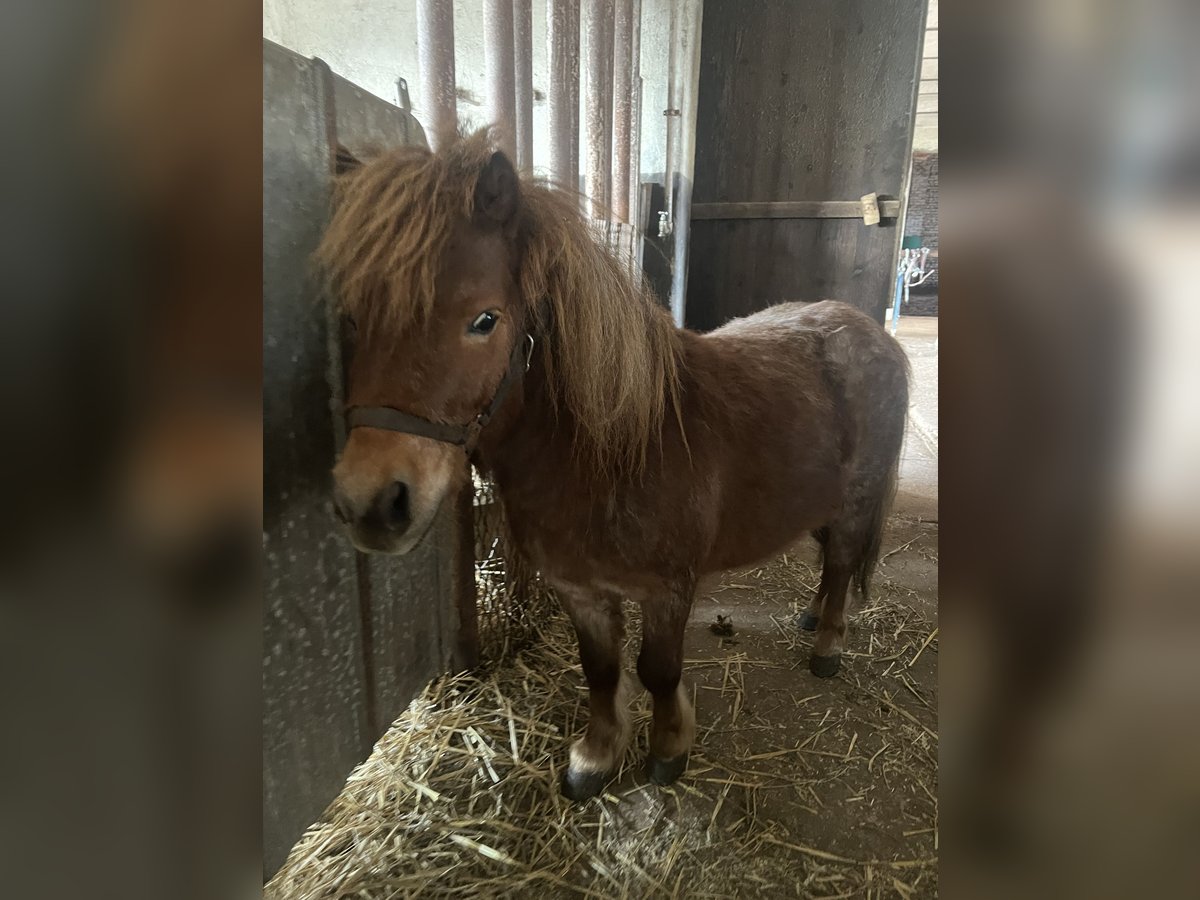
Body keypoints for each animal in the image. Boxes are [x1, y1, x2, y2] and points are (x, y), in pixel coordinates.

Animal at [318, 131, 909, 801]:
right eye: (352, 316)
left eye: (485, 320)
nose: (372, 503)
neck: (611, 454)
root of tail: (868, 331)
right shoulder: (580, 591)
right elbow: (600, 671)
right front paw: (597, 757)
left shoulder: (669, 591)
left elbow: (658, 671)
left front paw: (669, 747)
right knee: (829, 555)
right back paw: (810, 617)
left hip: (858, 501)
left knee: (842, 562)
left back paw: (828, 644)